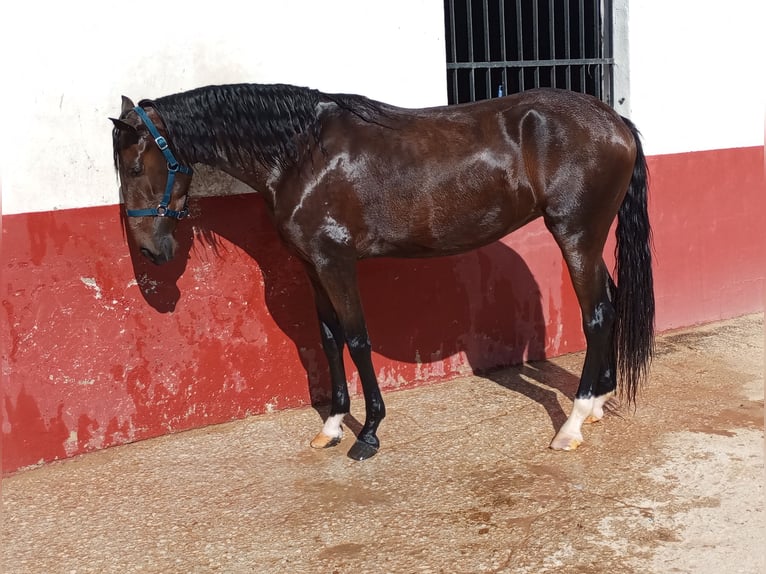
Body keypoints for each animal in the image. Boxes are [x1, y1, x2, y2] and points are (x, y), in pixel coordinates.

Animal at [112, 83, 656, 464]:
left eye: (135, 168)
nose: (149, 250)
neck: (300, 156)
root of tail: (615, 119)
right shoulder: (313, 267)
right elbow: (328, 339)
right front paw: (331, 426)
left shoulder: (336, 264)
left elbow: (356, 339)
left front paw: (369, 432)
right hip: (588, 239)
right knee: (609, 304)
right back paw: (599, 403)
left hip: (575, 233)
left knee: (597, 314)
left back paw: (572, 424)